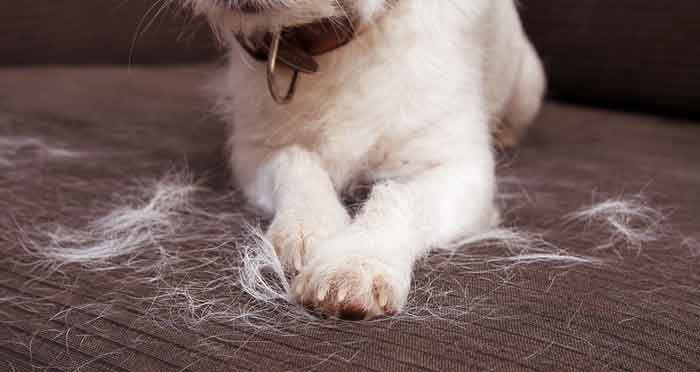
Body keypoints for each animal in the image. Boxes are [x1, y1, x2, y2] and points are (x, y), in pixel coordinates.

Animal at [186, 0, 548, 320]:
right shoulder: (254, 151)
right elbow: (294, 161)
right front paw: (309, 225)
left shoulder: (461, 169)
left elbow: (401, 196)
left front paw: (356, 262)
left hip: (529, 84)